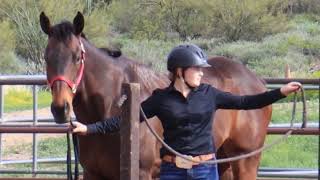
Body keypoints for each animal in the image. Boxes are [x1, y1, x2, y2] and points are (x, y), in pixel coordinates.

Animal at [39, 11, 270, 180]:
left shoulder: (141, 173)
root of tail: (256, 80)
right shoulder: (93, 174)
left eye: (77, 57)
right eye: (46, 57)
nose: (60, 109)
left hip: (245, 161)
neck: (115, 104)